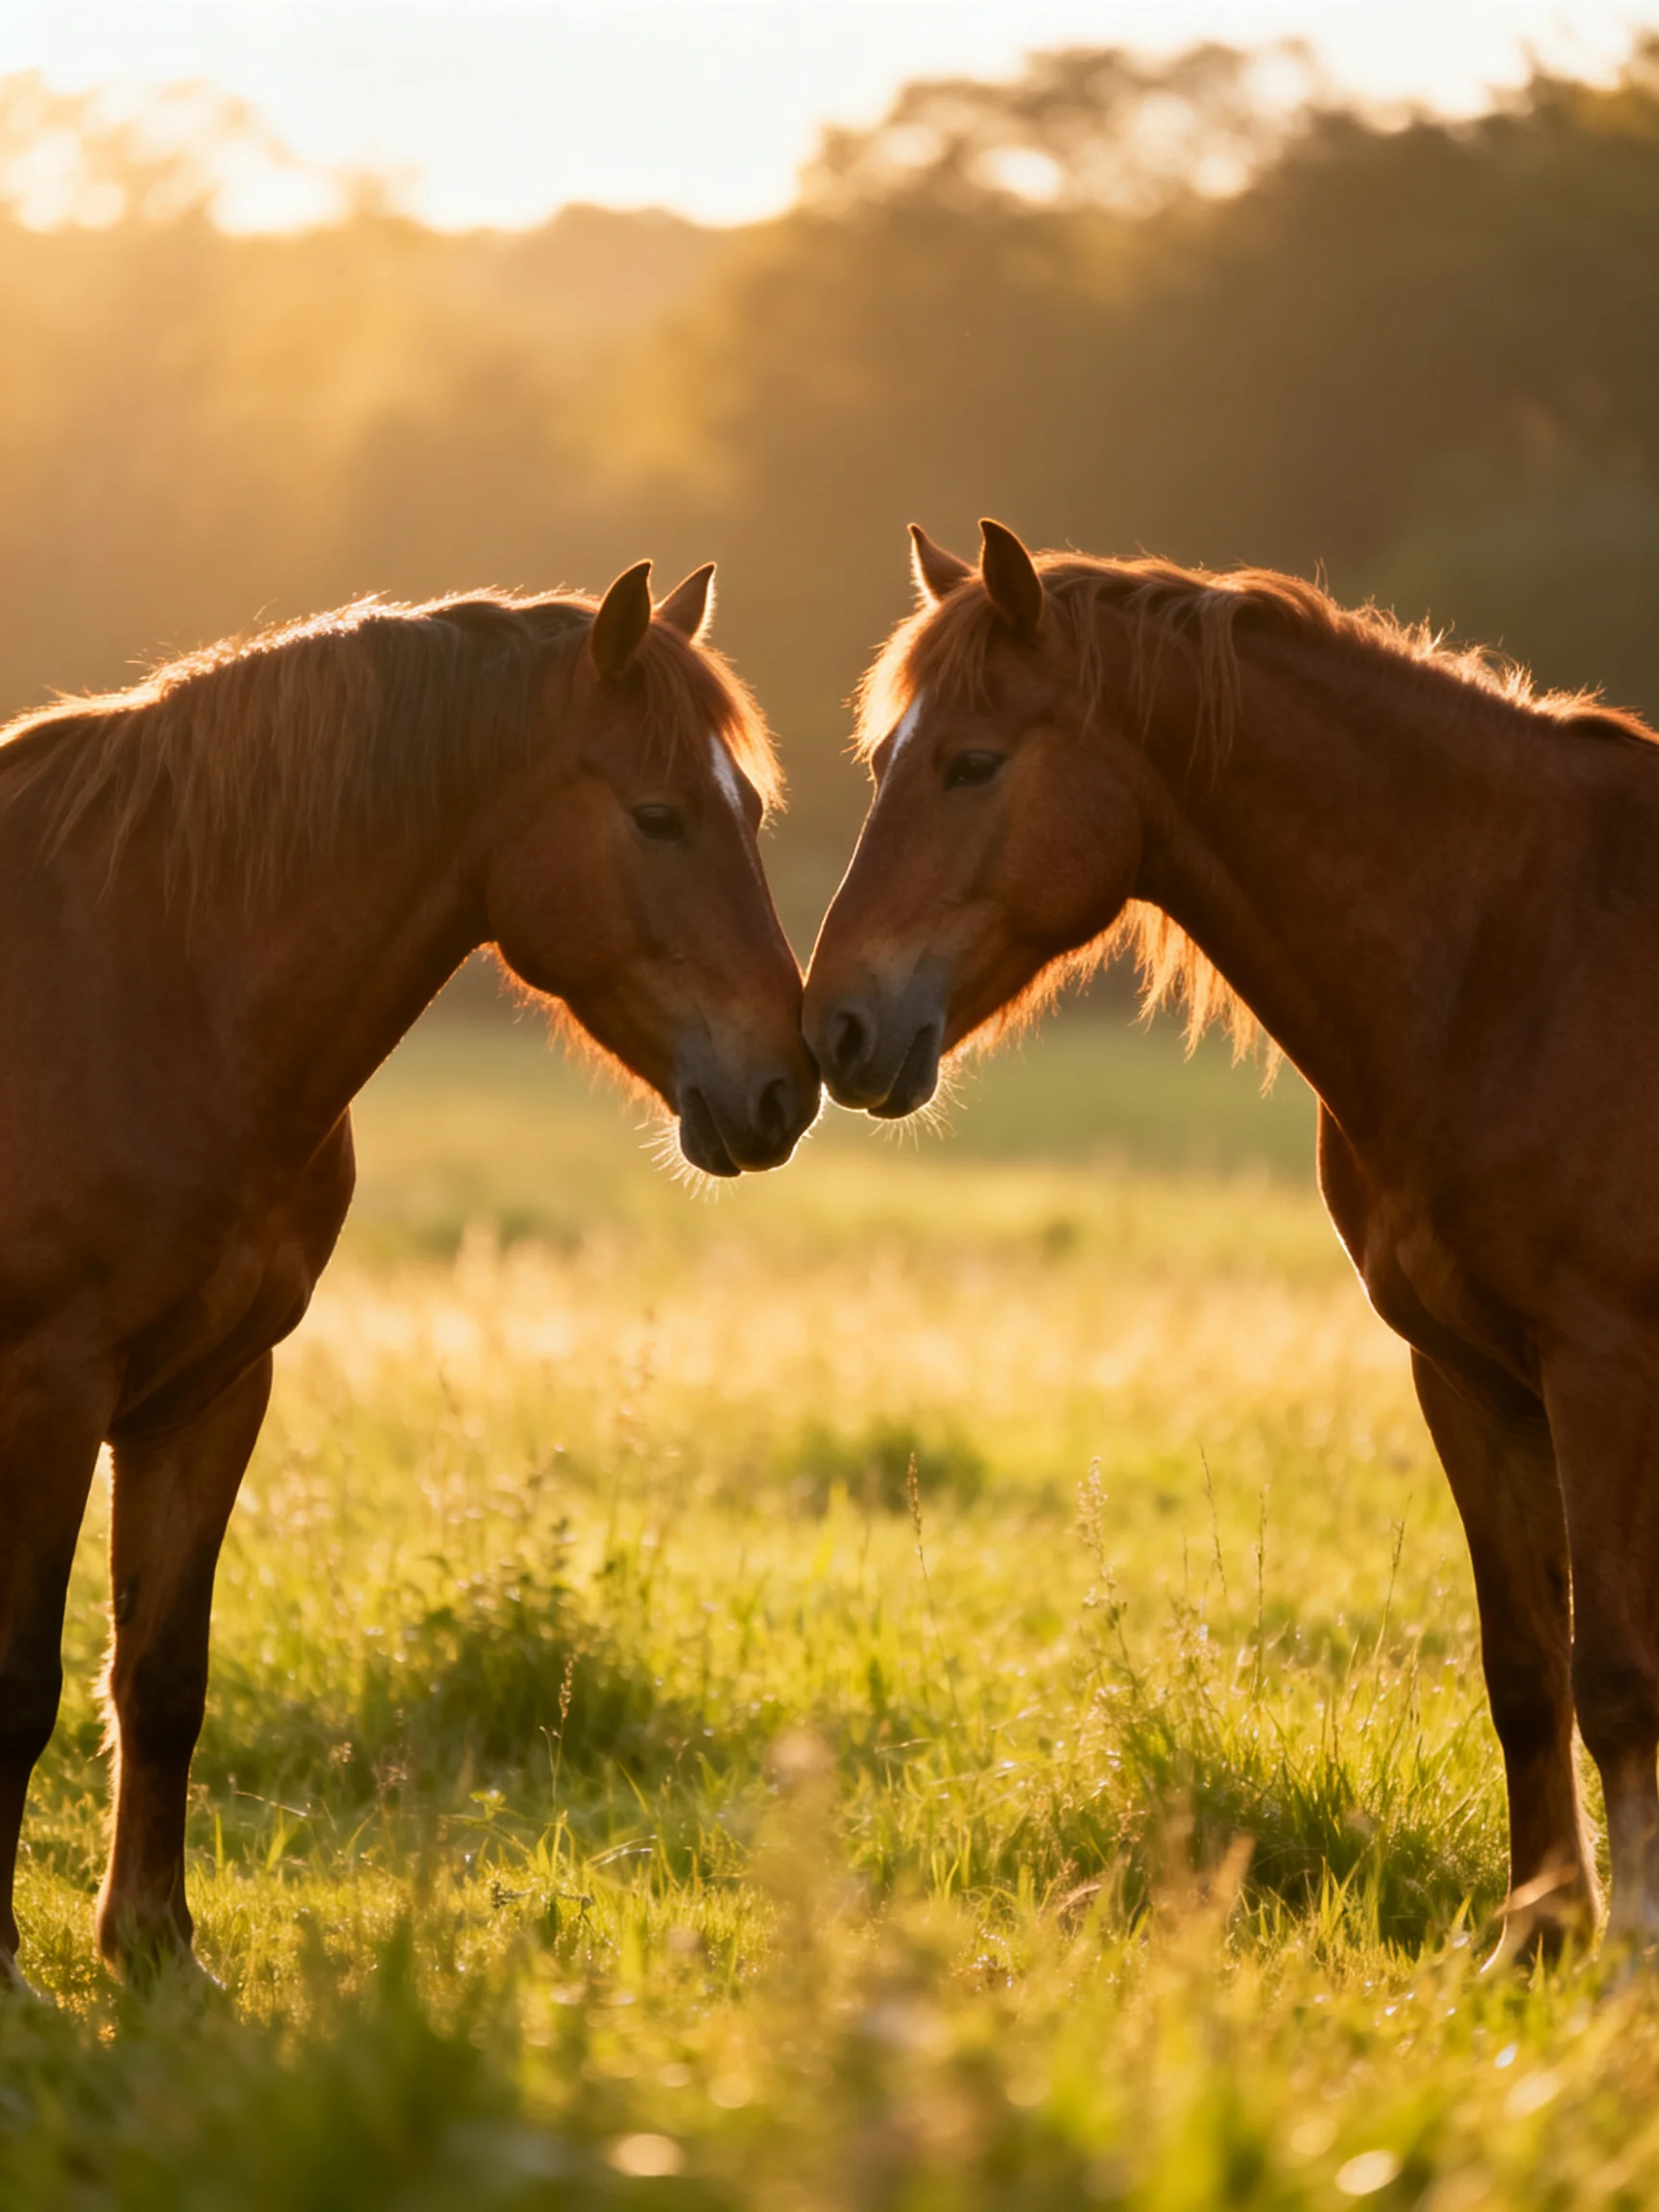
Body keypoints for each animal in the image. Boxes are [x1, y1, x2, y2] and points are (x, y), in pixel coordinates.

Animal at [0, 558, 818, 1987]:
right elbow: (13, 1686)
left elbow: (161, 1676)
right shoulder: (47, 1391)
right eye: (657, 816)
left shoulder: (209, 1390)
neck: (145, 991)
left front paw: (155, 1948)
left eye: (749, 810)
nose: (786, 1088)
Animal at [804, 516, 1659, 1962]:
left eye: (974, 762)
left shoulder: (1603, 1372)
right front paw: (1535, 1941)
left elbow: (1615, 1676)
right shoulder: (1469, 1377)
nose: (837, 1031)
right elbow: (1527, 1671)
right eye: (884, 762)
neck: (1518, 958)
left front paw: (1625, 1959)